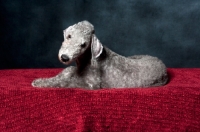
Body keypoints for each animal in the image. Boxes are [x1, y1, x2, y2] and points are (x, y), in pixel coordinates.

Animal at [32, 20, 168, 89]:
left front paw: (40, 83)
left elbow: (67, 82)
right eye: (69, 36)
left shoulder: (92, 84)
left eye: (83, 44)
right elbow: (67, 72)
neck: (86, 59)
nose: (65, 57)